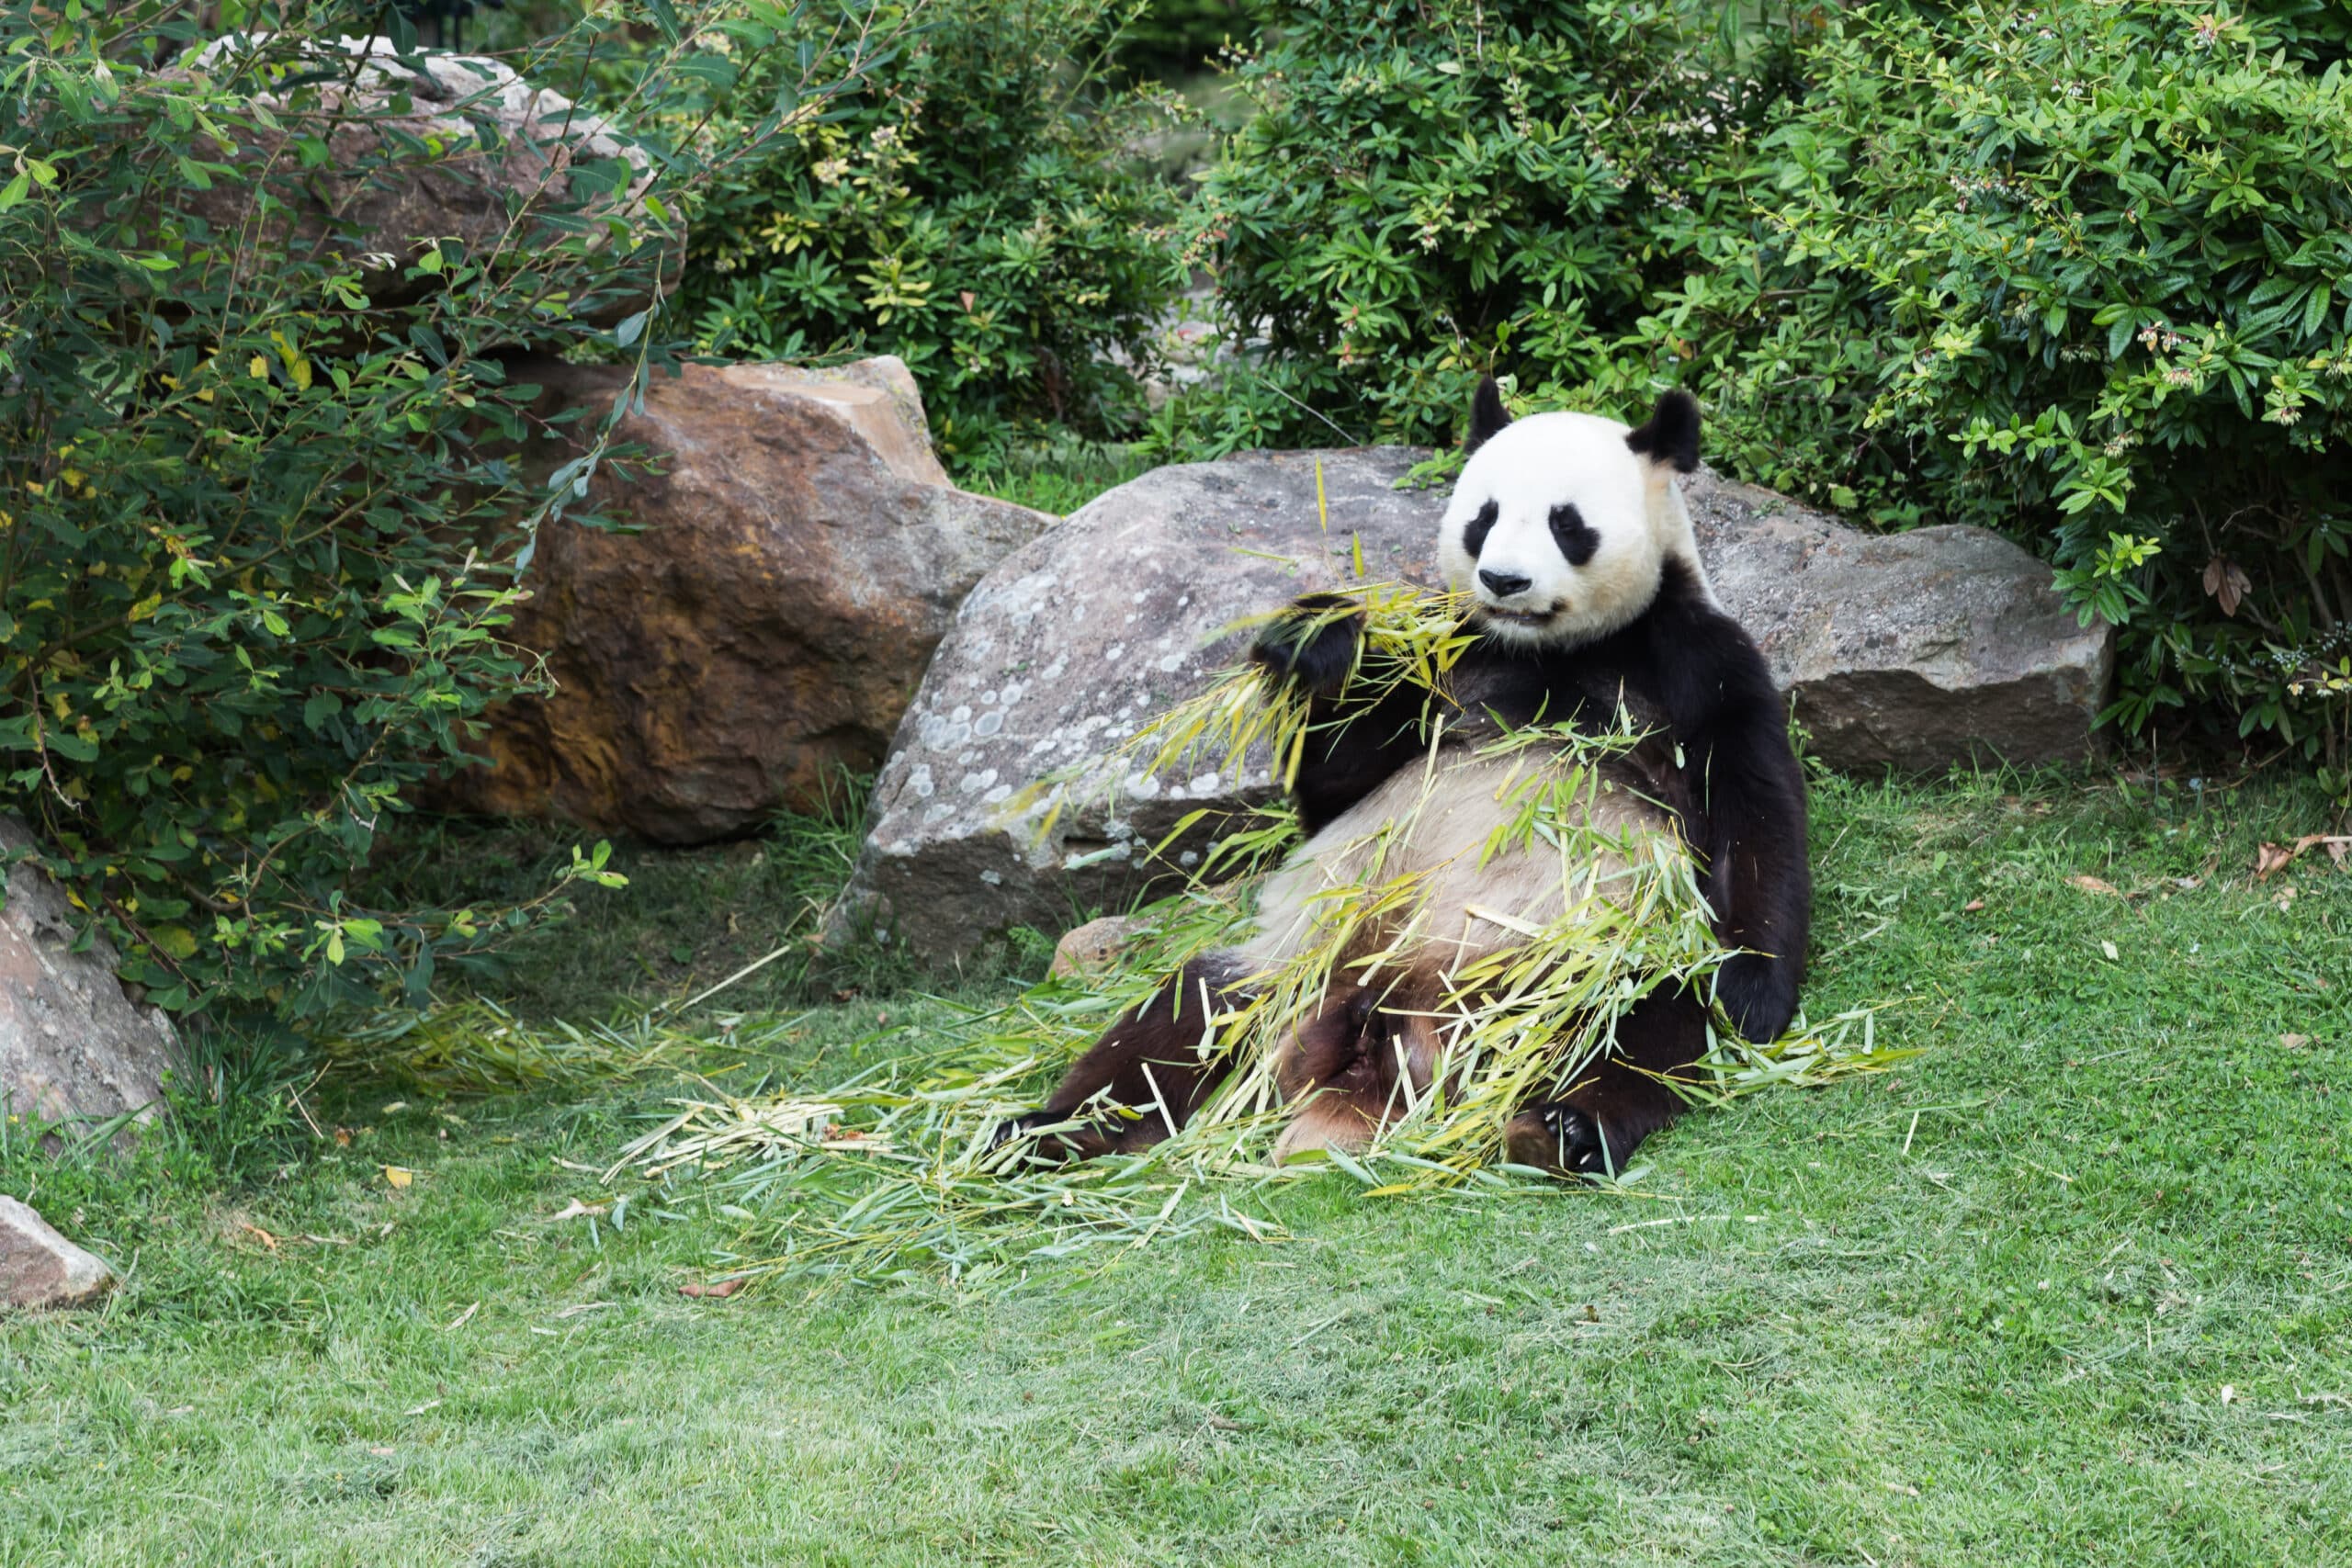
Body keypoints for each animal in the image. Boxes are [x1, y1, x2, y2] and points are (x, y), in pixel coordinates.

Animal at [993, 382, 1810, 1176]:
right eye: (1483, 516)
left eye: (1566, 522)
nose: (1502, 580)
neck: (1549, 648)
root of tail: (1389, 1031)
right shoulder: (1447, 657)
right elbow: (1340, 785)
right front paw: (1317, 641)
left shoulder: (1697, 661)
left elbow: (1754, 814)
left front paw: (1751, 992)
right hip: (1300, 959)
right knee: (1185, 1012)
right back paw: (1042, 1131)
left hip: (1585, 964)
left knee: (1643, 1027)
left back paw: (1561, 1127)